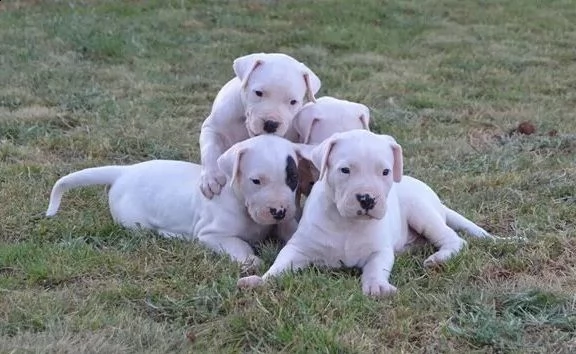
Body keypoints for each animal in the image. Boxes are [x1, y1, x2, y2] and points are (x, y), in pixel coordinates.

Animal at [45, 136, 306, 272]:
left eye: (292, 178)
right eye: (256, 181)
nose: (279, 211)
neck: (239, 200)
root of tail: (124, 171)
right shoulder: (211, 234)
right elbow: (238, 245)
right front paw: (250, 261)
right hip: (134, 222)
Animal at [200, 54, 322, 201]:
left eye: (293, 102)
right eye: (258, 93)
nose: (271, 124)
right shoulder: (212, 128)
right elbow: (210, 148)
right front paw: (212, 177)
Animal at [236, 130, 492, 296]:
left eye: (385, 171)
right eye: (345, 170)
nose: (367, 199)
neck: (347, 223)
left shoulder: (379, 251)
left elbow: (376, 268)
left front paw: (377, 286)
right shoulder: (298, 249)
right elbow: (280, 265)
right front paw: (260, 281)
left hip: (422, 212)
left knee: (455, 240)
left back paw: (438, 259)